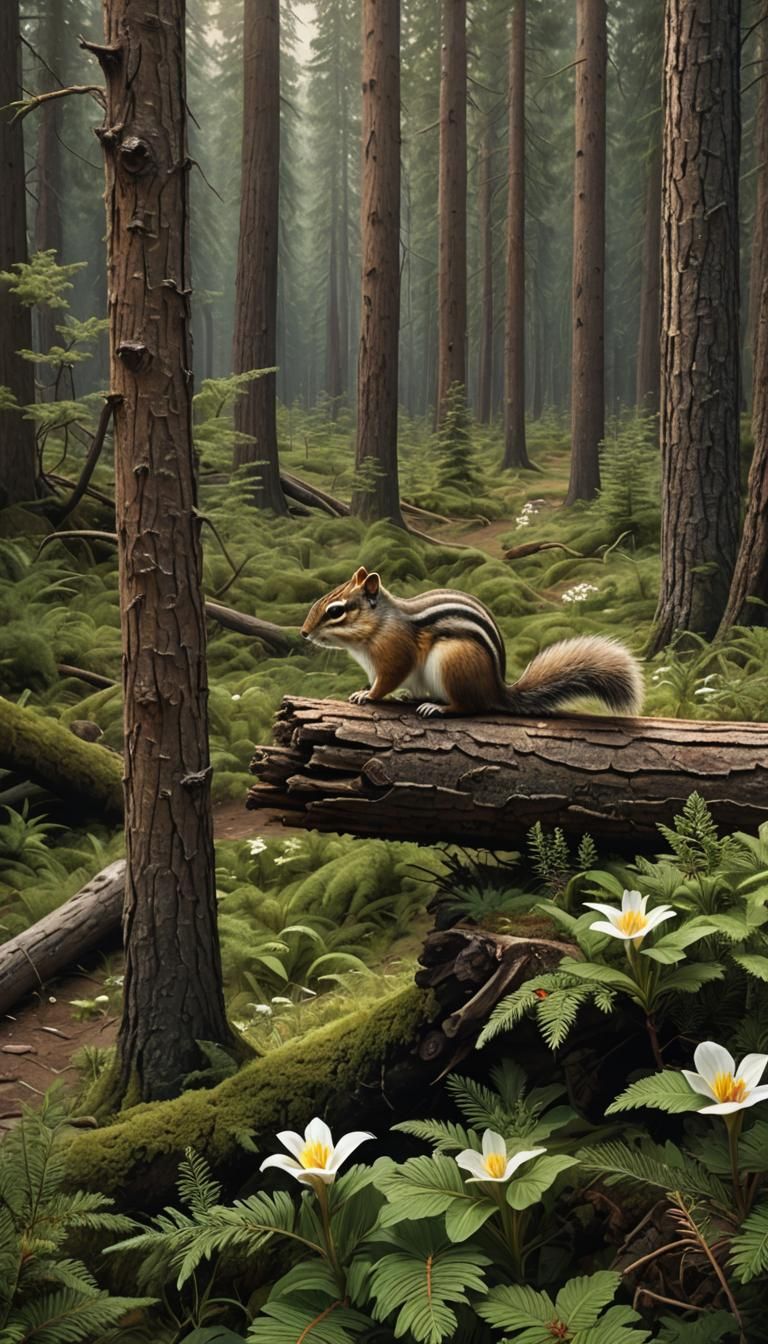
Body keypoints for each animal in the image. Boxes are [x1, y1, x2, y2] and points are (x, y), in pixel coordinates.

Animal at [301, 566, 643, 719]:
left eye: (336, 611)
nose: (303, 633)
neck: (382, 623)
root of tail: (495, 688)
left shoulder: (394, 654)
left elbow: (387, 679)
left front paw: (367, 695)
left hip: (452, 662)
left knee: (470, 706)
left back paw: (438, 707)